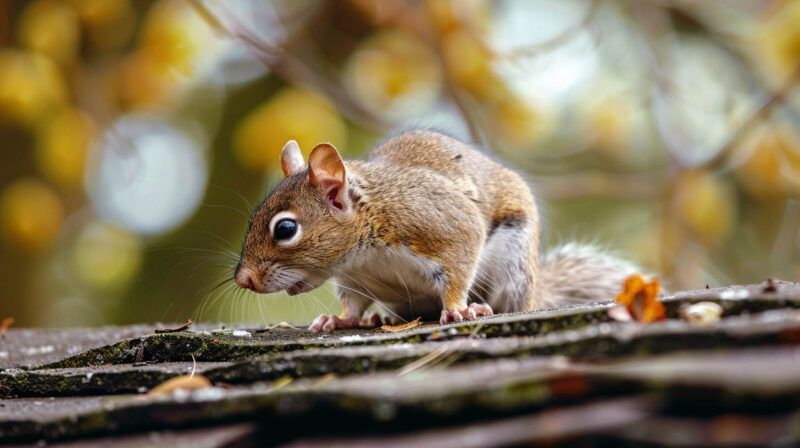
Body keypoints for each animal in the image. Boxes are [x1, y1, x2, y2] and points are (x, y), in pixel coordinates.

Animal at [234, 129, 640, 332]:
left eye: (286, 228)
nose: (243, 280)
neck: (363, 254)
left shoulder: (442, 225)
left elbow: (458, 270)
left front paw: (458, 310)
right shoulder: (352, 279)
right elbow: (352, 304)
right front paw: (338, 319)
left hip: (513, 263)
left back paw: (482, 307)